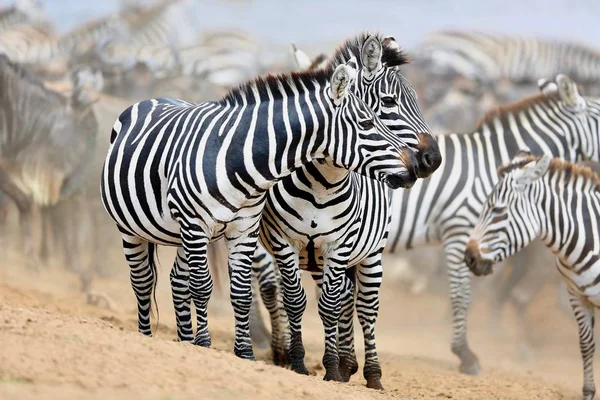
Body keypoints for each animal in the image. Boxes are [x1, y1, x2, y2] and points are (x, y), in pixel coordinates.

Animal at [99, 61, 418, 360]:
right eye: (366, 123)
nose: (415, 166)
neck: (238, 159)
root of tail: (150, 99)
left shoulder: (244, 228)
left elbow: (240, 292)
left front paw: (244, 353)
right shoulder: (196, 223)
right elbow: (201, 286)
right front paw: (205, 345)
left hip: (181, 235)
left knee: (177, 279)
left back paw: (184, 340)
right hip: (133, 228)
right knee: (143, 281)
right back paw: (146, 336)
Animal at [258, 32, 440, 390]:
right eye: (389, 102)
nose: (432, 160)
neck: (320, 182)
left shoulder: (340, 245)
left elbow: (331, 306)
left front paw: (332, 368)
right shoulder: (284, 243)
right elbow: (294, 300)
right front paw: (297, 362)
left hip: (371, 253)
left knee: (365, 307)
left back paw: (370, 373)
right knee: (336, 298)